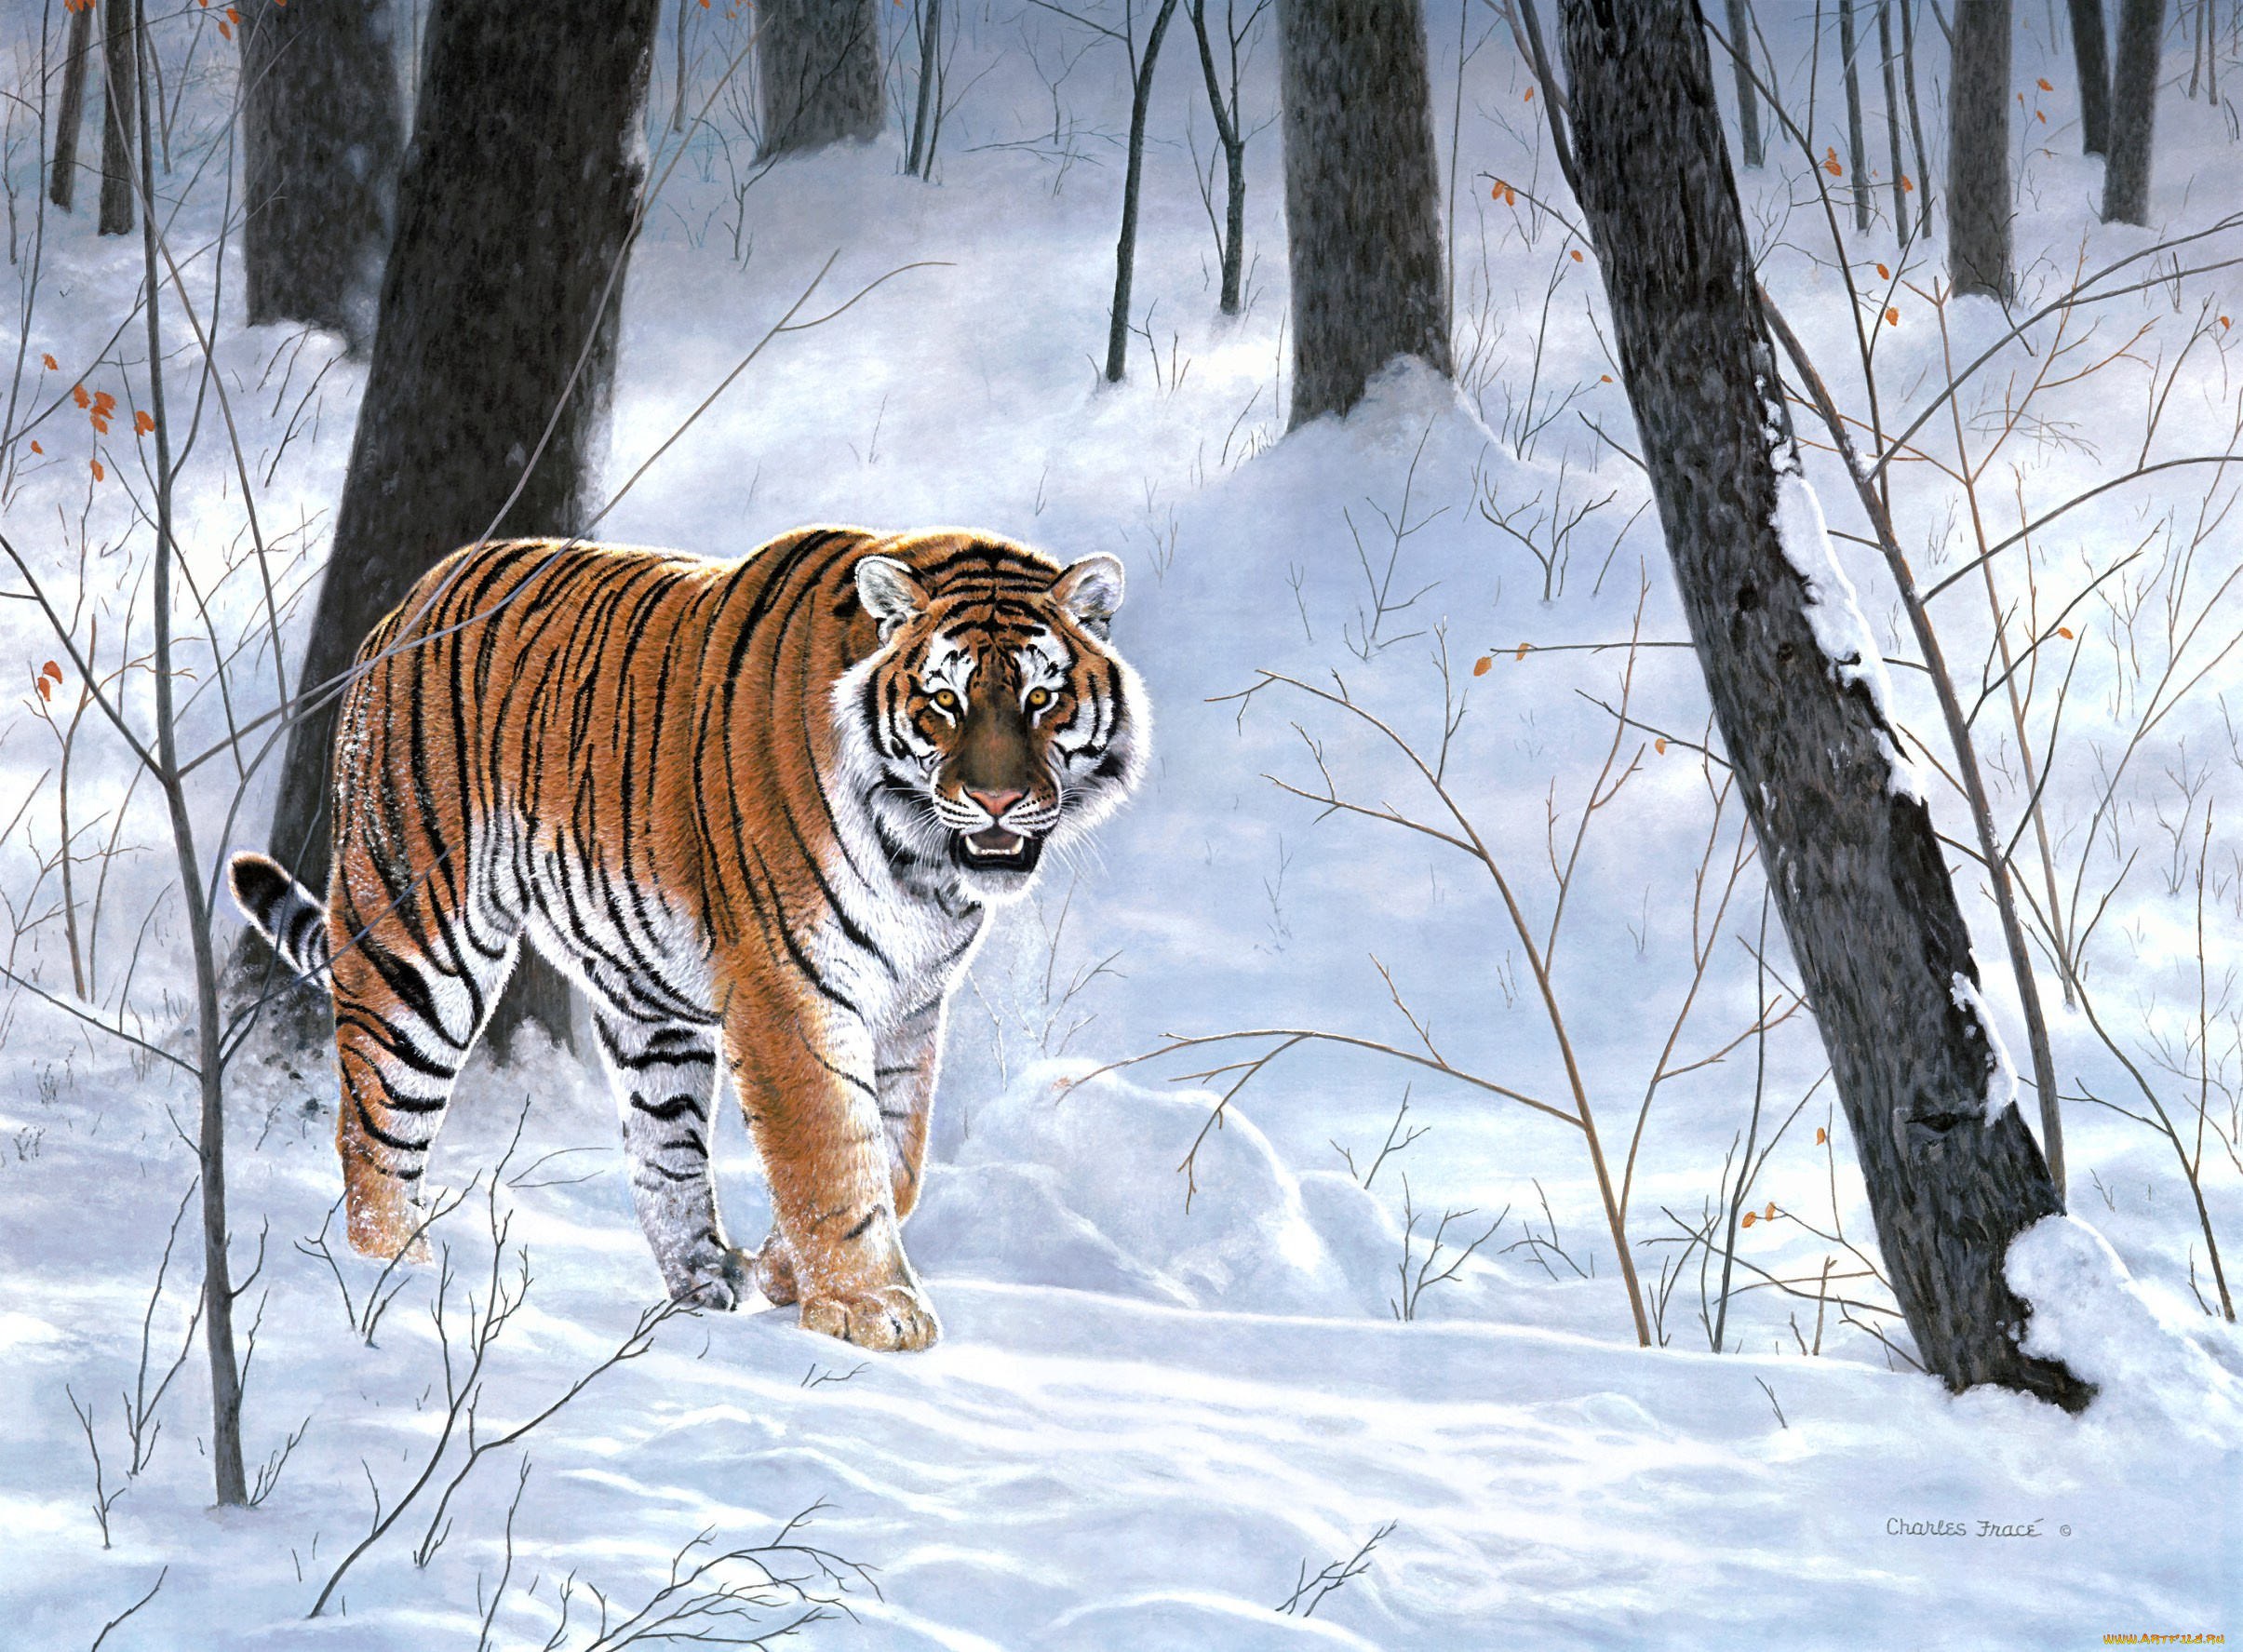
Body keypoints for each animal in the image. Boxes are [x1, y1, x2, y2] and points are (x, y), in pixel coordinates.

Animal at [230, 527, 1145, 1351]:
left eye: (1041, 699)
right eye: (944, 701)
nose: (996, 802)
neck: (922, 865)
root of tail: (408, 601)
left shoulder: (911, 1004)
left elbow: (895, 1155)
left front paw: (785, 1271)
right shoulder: (791, 990)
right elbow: (831, 1147)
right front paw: (870, 1308)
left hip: (647, 998)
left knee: (662, 1149)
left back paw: (705, 1279)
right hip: (418, 937)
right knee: (376, 1121)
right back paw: (398, 1277)